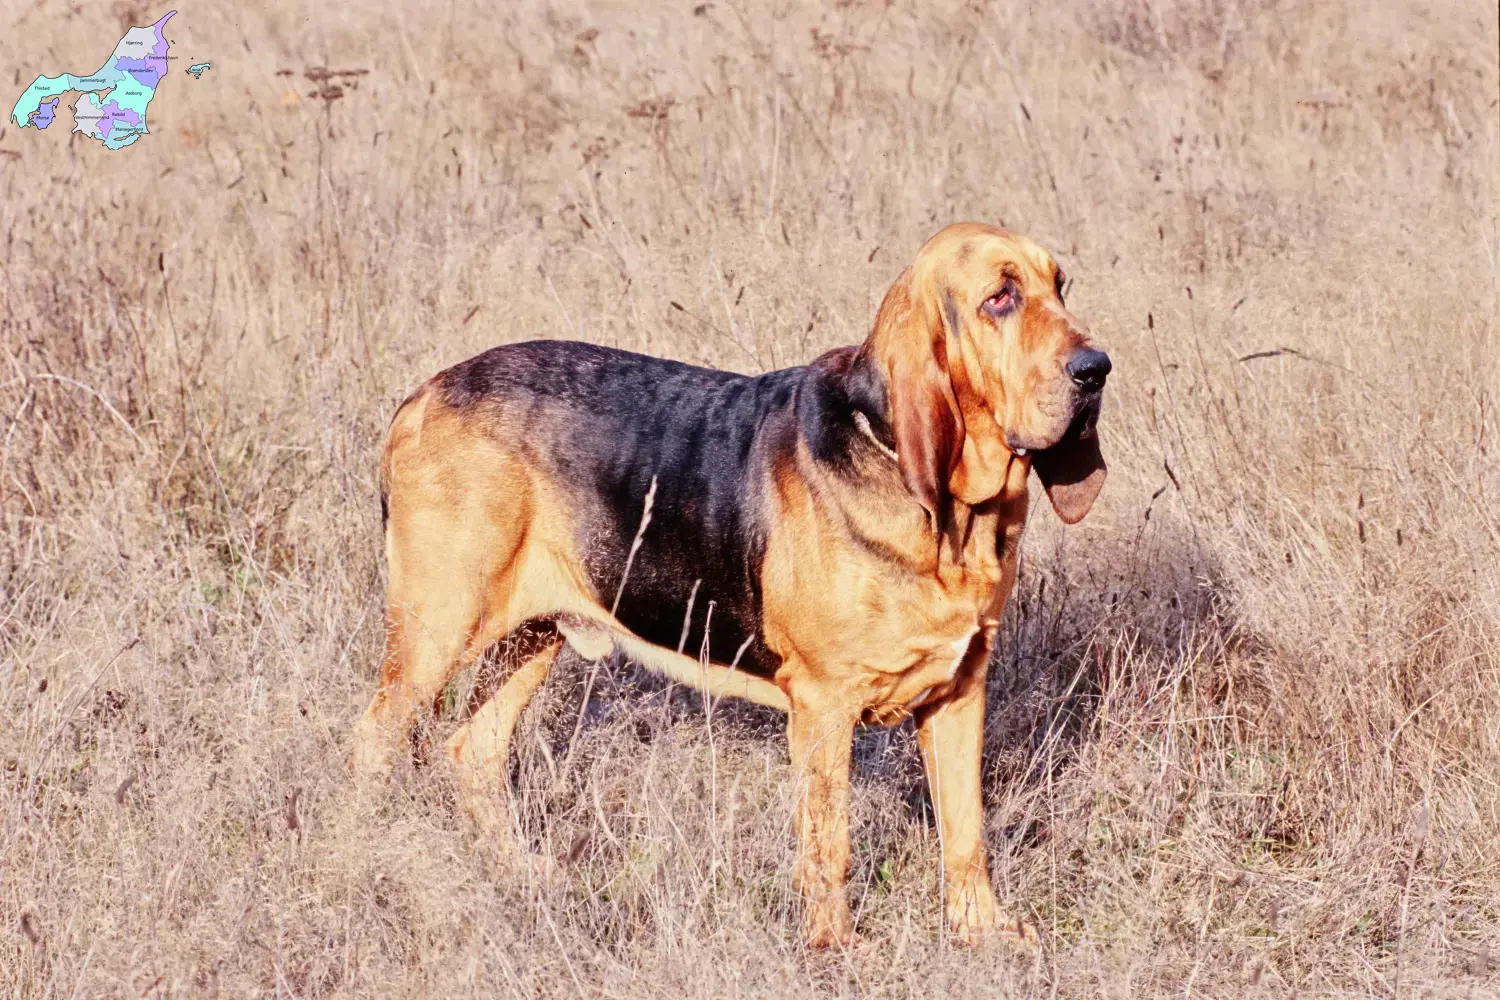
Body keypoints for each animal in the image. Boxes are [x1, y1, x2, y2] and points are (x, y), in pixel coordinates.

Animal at [348, 223, 1104, 953]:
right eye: (999, 298)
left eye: (1060, 285)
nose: (1097, 370)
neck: (952, 510)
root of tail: (421, 397)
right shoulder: (824, 707)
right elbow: (828, 845)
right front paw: (834, 950)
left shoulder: (960, 692)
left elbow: (966, 832)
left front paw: (982, 933)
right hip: (436, 633)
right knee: (371, 744)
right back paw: (363, 861)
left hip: (533, 637)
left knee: (472, 750)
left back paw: (527, 876)